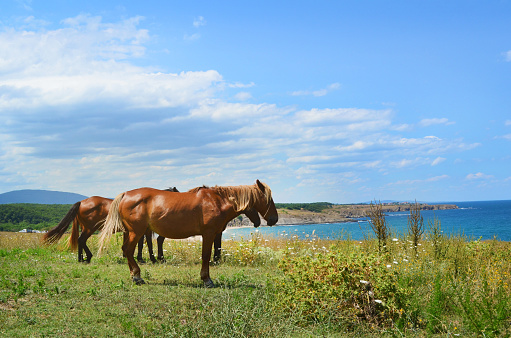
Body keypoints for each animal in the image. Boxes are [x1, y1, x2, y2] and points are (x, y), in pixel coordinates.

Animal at [97, 181, 278, 286]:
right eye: (269, 199)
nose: (274, 219)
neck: (217, 201)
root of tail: (126, 194)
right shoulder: (209, 234)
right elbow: (206, 256)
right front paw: (206, 279)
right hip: (136, 232)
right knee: (128, 250)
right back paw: (137, 276)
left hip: (132, 232)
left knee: (126, 250)